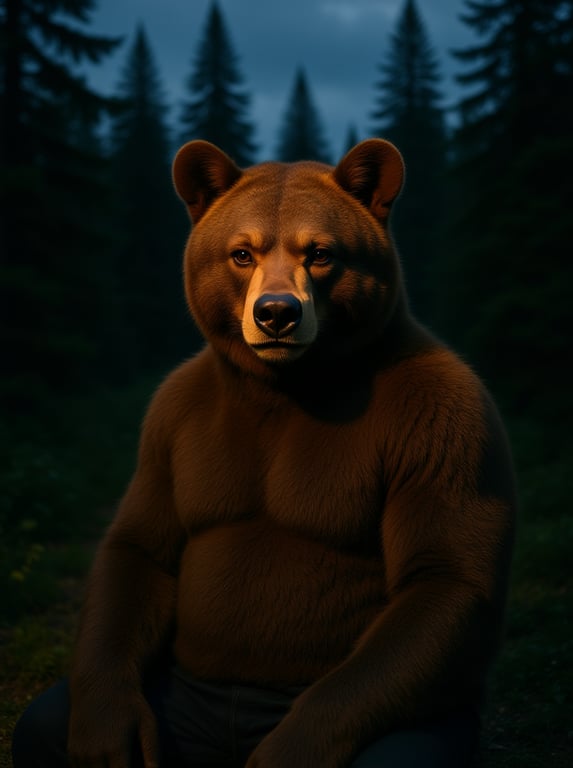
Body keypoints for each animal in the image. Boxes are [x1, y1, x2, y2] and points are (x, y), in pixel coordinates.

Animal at [12, 139, 516, 768]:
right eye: (242, 253)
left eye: (320, 252)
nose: (277, 313)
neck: (286, 388)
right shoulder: (168, 422)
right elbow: (141, 544)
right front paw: (109, 731)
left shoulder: (443, 423)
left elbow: (445, 577)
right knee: (39, 722)